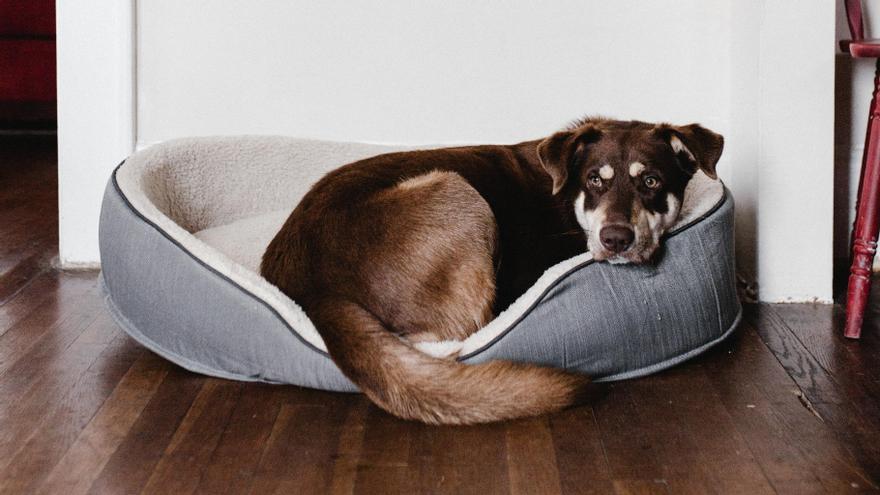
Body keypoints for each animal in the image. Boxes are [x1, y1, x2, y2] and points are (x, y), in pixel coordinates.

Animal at [260, 117, 720, 426]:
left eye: (651, 181)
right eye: (594, 180)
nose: (616, 239)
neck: (568, 198)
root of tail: (312, 290)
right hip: (458, 192)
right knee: (461, 333)